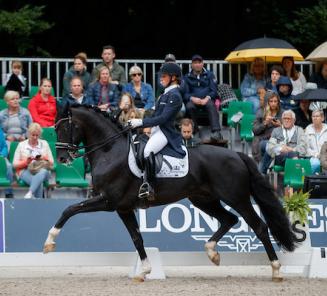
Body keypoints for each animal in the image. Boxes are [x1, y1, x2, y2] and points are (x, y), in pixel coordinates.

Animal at [43, 105, 298, 280]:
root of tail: (236, 154)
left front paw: (49, 242)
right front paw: (144, 271)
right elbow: (137, 237)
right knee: (229, 219)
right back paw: (212, 253)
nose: (63, 158)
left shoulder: (108, 201)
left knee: (258, 226)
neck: (110, 150)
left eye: (64, 127)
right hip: (203, 199)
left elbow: (69, 209)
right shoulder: (123, 207)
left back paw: (276, 270)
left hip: (237, 198)